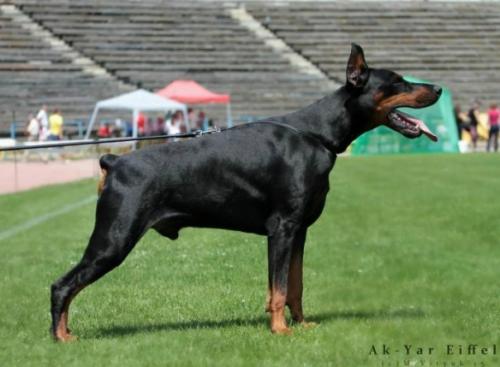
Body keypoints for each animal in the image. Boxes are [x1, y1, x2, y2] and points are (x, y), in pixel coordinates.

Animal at [50, 43, 442, 342]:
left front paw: (301, 324)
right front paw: (281, 331)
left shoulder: (299, 230)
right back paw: (61, 337)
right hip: (114, 238)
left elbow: (294, 285)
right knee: (62, 285)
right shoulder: (281, 228)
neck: (317, 134)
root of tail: (114, 160)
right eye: (397, 81)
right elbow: (279, 287)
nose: (437, 89)